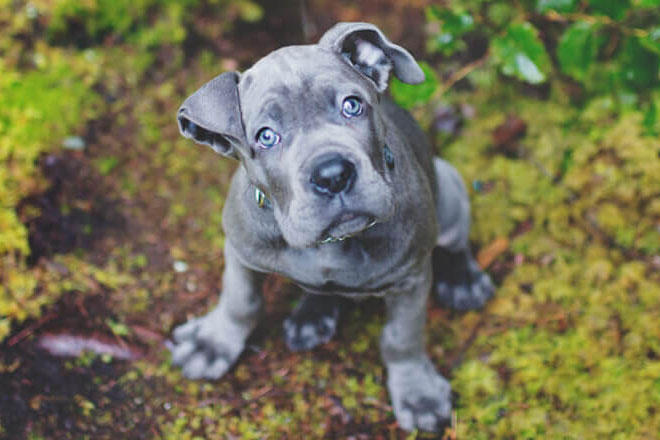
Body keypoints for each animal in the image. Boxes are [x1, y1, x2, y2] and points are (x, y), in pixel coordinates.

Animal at [168, 22, 492, 432]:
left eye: (352, 105)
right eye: (266, 136)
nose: (333, 174)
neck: (334, 244)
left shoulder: (412, 278)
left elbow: (402, 338)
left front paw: (419, 395)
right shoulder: (240, 251)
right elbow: (240, 301)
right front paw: (211, 344)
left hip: (448, 186)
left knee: (455, 242)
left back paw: (464, 282)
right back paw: (311, 315)